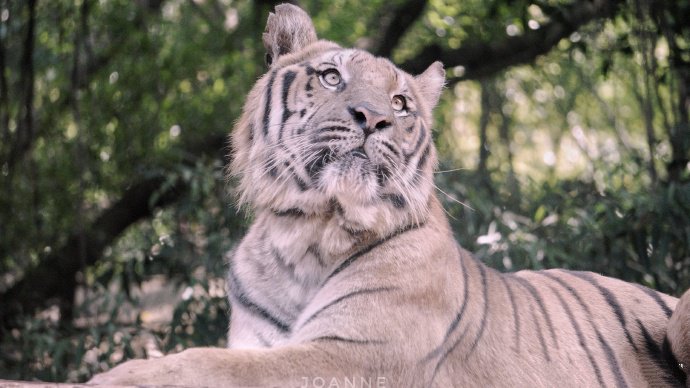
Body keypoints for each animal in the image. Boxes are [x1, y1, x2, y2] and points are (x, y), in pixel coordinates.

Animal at [91, 3, 688, 388]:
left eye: (400, 104)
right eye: (331, 77)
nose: (373, 117)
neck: (303, 233)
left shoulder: (352, 355)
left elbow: (208, 364)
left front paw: (116, 377)